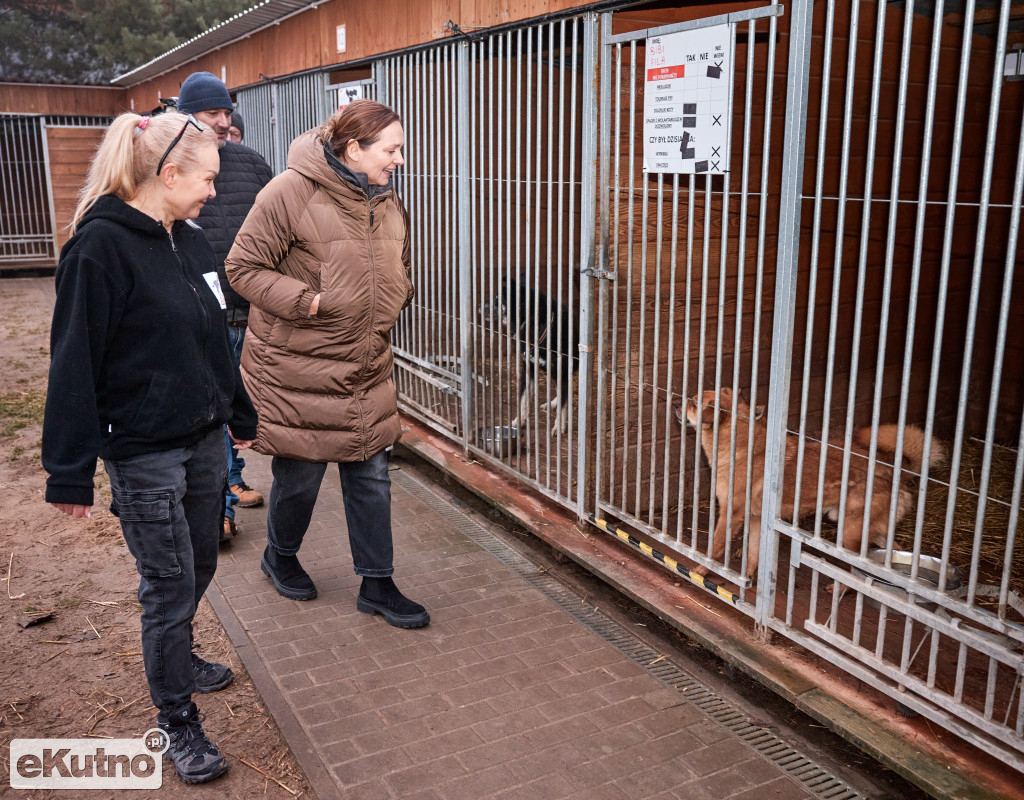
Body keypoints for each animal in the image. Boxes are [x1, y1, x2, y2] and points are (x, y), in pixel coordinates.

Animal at [483, 278, 581, 434]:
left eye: (498, 299)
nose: (479, 306)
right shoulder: (528, 368)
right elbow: (523, 400)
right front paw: (518, 421)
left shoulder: (562, 372)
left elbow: (563, 406)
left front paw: (559, 427)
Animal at [675, 385, 946, 573]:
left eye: (694, 404)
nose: (677, 403)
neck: (742, 447)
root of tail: (896, 471)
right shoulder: (755, 518)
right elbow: (753, 554)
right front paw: (750, 580)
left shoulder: (731, 514)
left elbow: (715, 547)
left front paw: (700, 570)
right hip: (865, 528)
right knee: (891, 555)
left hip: (849, 533)